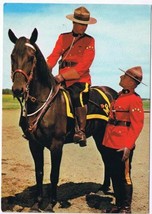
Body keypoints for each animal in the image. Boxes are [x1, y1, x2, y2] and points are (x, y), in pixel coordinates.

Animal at [8, 28, 117, 211]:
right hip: (98, 135)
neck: (42, 101)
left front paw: (50, 204)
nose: (18, 89)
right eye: (12, 56)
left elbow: (54, 174)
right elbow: (39, 173)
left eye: (31, 57)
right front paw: (37, 203)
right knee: (106, 159)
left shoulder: (56, 145)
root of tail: (113, 92)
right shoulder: (34, 144)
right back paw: (103, 188)